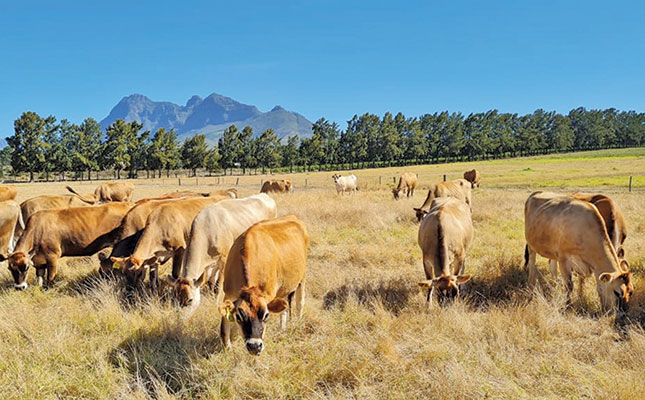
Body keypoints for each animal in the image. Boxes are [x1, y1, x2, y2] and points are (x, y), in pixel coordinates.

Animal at [218, 216, 308, 356]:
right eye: (239, 316)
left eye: (266, 315)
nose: (254, 346)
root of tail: (292, 217)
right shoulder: (228, 293)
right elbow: (224, 327)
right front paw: (228, 348)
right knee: (285, 307)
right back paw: (282, 328)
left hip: (302, 278)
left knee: (300, 303)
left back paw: (298, 323)